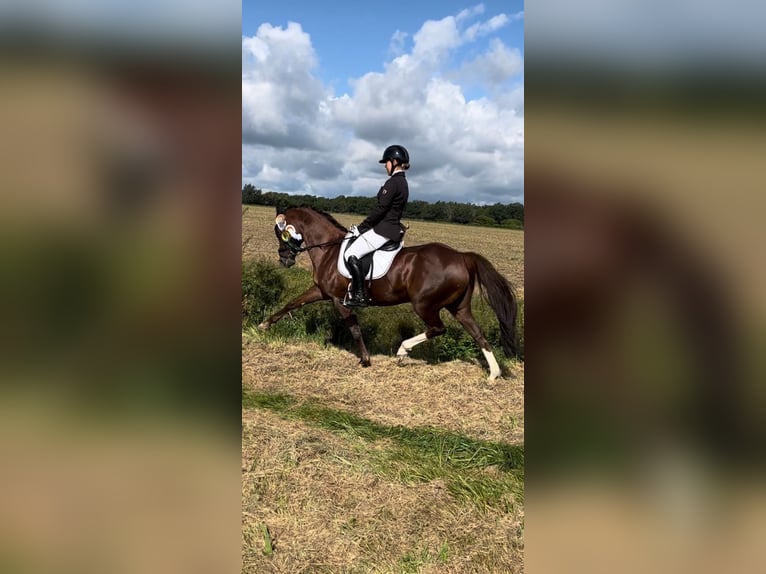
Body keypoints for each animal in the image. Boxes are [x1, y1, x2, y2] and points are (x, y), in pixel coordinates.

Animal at [260, 207, 520, 382]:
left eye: (279, 233)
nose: (284, 260)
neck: (329, 249)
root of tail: (462, 257)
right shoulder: (321, 291)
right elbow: (292, 303)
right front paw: (264, 325)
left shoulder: (338, 299)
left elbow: (354, 329)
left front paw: (366, 360)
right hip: (459, 307)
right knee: (478, 334)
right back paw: (493, 374)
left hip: (424, 304)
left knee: (438, 328)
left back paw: (403, 351)